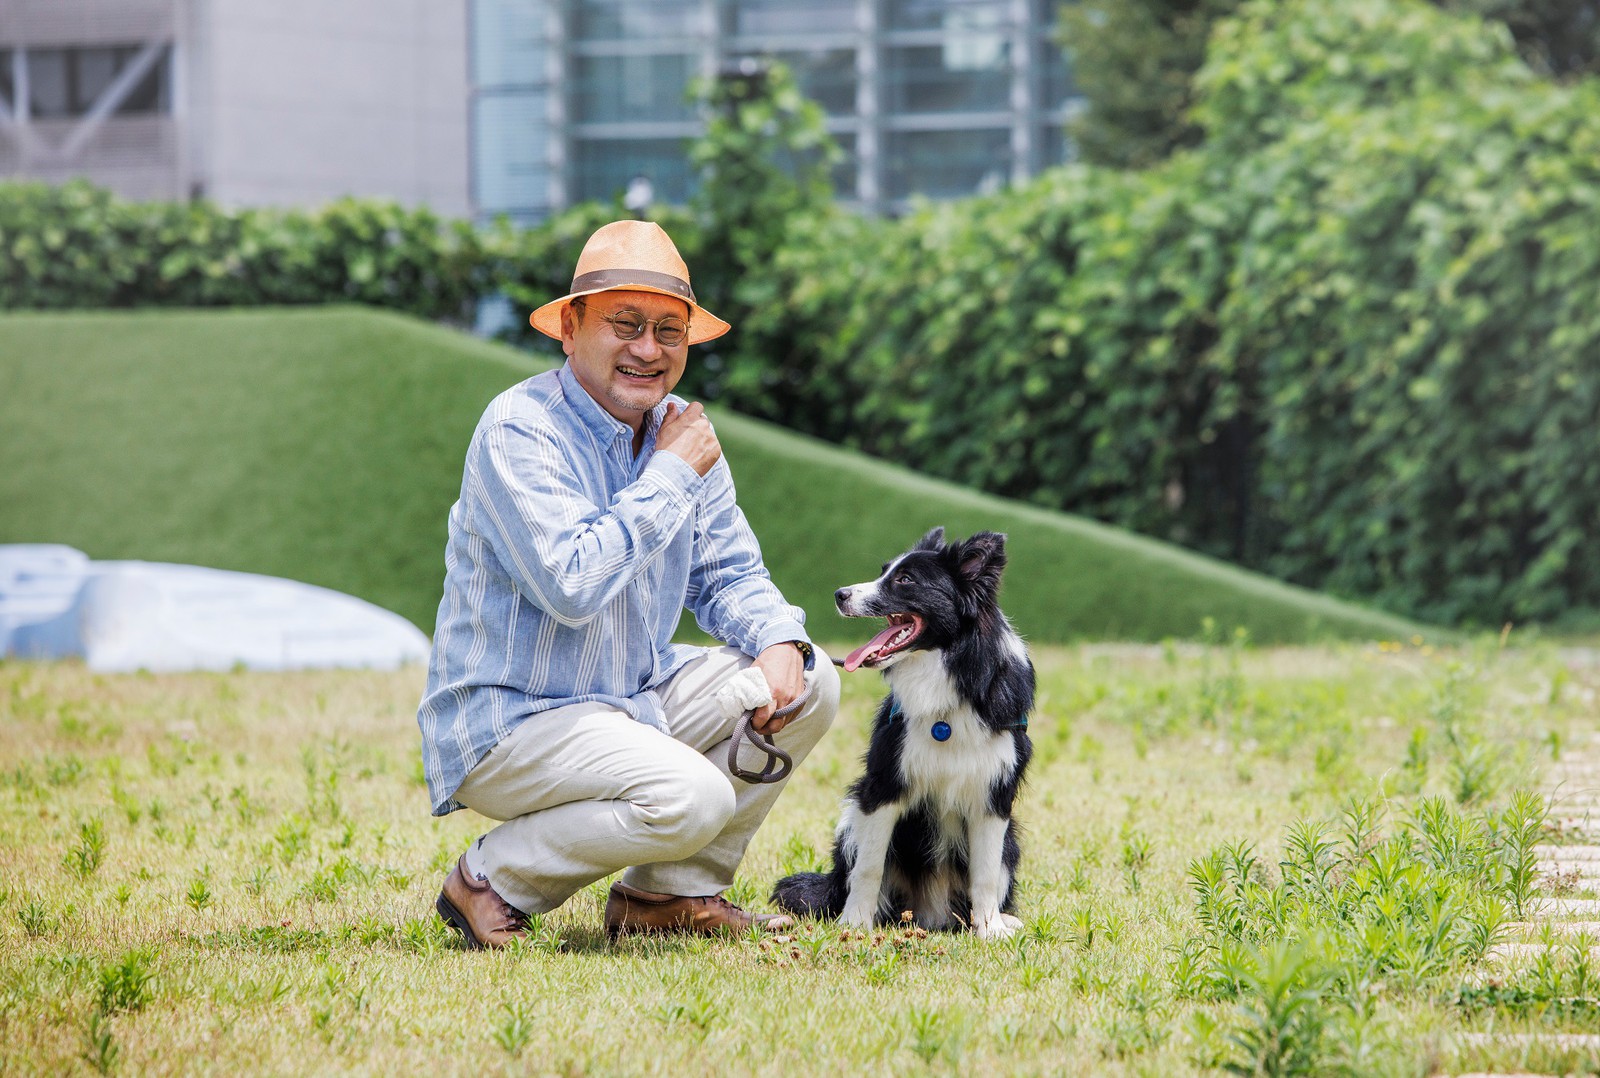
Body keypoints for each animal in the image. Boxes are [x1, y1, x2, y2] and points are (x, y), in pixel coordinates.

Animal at [774, 524, 1036, 934]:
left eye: (905, 579)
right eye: (884, 571)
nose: (840, 594)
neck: (947, 671)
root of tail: (931, 912)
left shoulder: (994, 797)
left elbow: (986, 875)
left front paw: (990, 930)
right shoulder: (883, 786)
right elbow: (869, 867)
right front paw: (855, 924)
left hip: (1012, 841)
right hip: (850, 821)